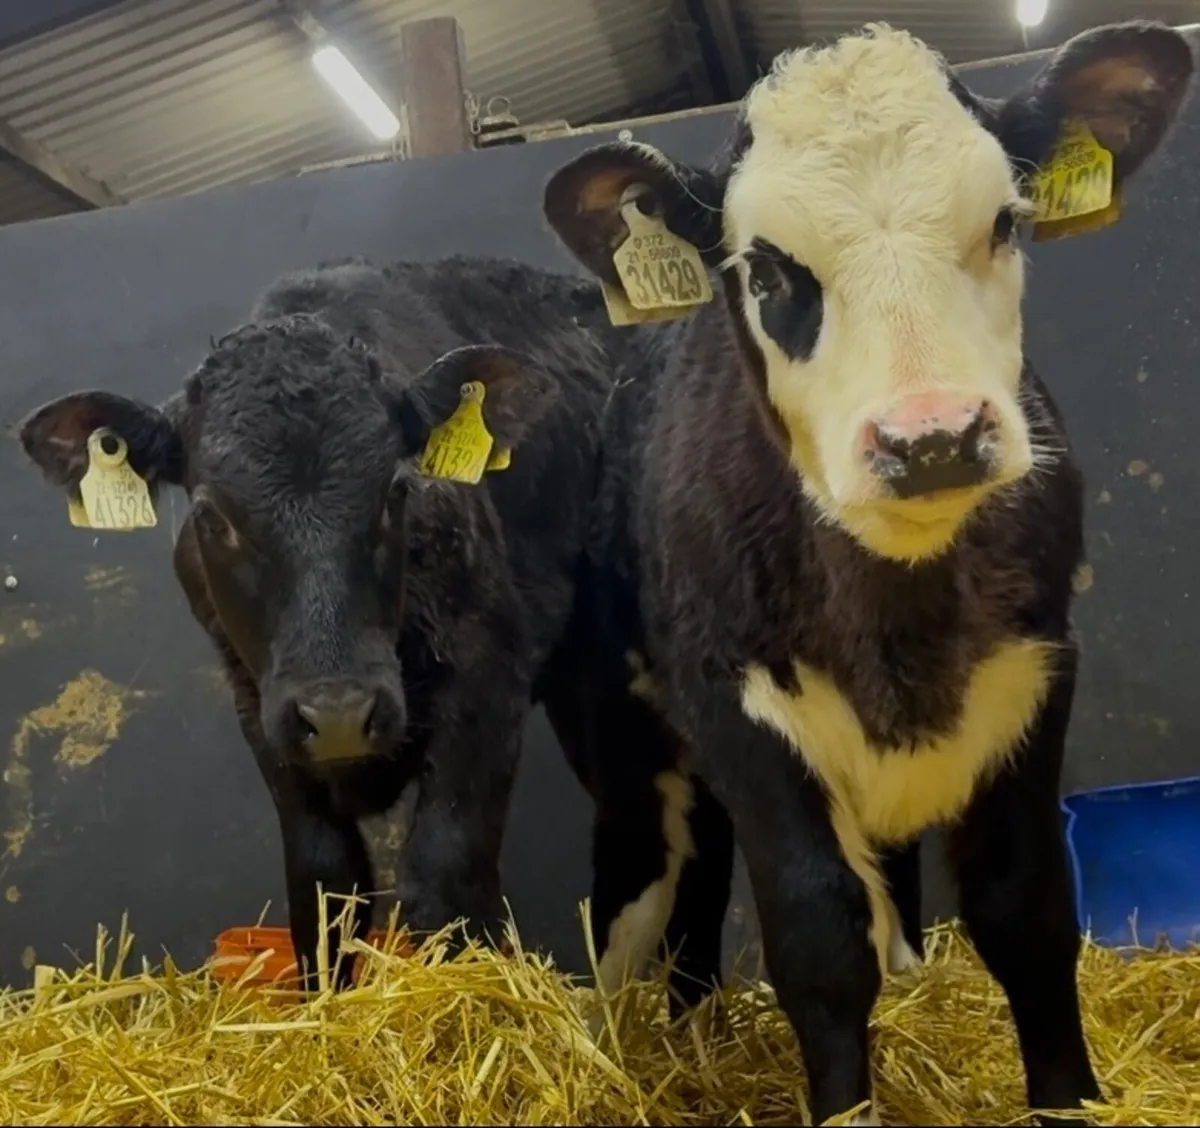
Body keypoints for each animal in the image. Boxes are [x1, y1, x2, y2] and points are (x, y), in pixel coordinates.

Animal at [17, 255, 629, 991]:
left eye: (397, 489)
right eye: (211, 516)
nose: (339, 714)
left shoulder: (487, 677)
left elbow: (444, 874)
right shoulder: (262, 711)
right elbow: (323, 888)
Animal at [541, 19, 1194, 1125]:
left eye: (1005, 224)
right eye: (765, 272)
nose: (931, 438)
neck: (901, 607)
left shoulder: (1039, 675)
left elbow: (1026, 908)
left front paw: (1066, 1098)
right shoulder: (743, 714)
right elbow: (819, 941)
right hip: (627, 746)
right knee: (645, 889)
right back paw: (634, 1044)